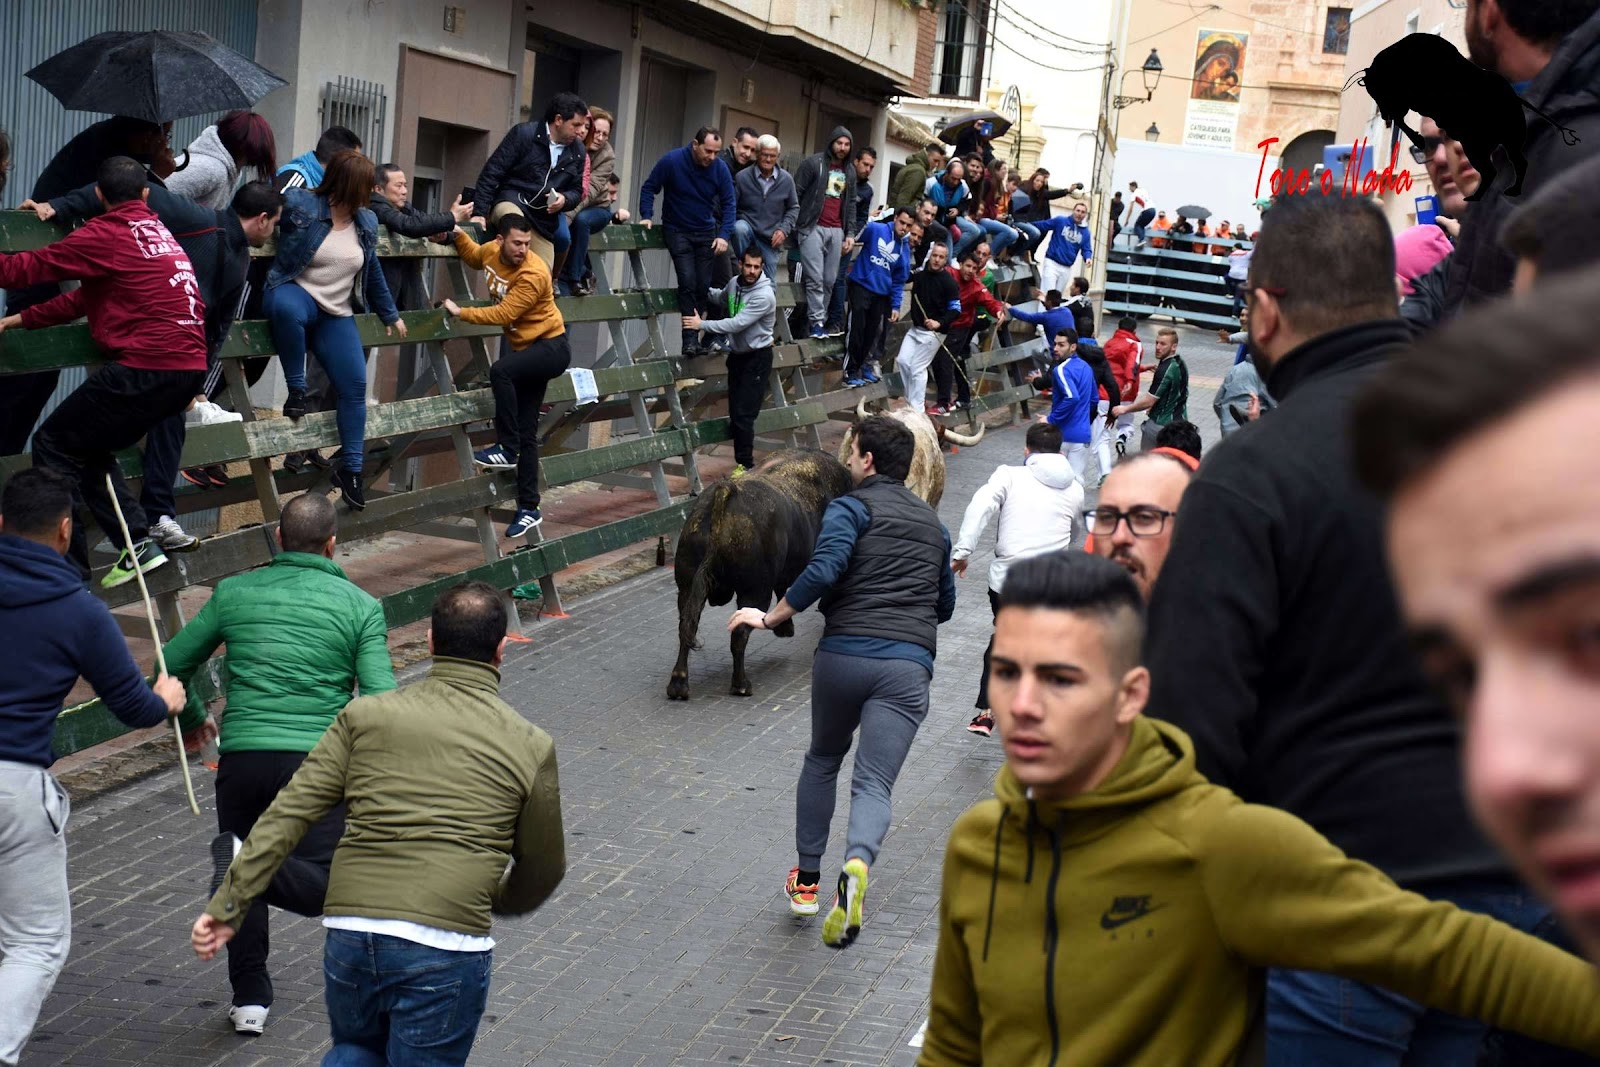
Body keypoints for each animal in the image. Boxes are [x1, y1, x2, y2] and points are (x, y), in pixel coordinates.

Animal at [667, 449, 852, 701]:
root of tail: (727, 491)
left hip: (686, 588)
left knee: (686, 628)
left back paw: (678, 684)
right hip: (754, 591)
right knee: (739, 634)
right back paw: (741, 684)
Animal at [1353, 32, 1578, 199]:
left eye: (1379, 90)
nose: (1384, 115)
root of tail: (1514, 98)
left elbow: (1403, 117)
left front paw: (1418, 138)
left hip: (1476, 147)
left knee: (1492, 170)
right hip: (1508, 143)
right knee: (1516, 163)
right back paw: (1510, 191)